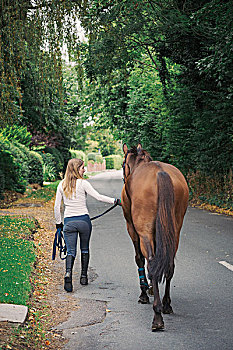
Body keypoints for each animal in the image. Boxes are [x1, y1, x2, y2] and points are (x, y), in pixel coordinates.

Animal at [121, 144, 188, 330]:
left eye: (123, 164)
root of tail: (160, 172)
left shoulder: (133, 230)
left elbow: (139, 259)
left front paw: (144, 292)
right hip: (174, 230)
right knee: (169, 263)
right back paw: (166, 304)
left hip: (144, 232)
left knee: (150, 262)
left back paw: (157, 315)